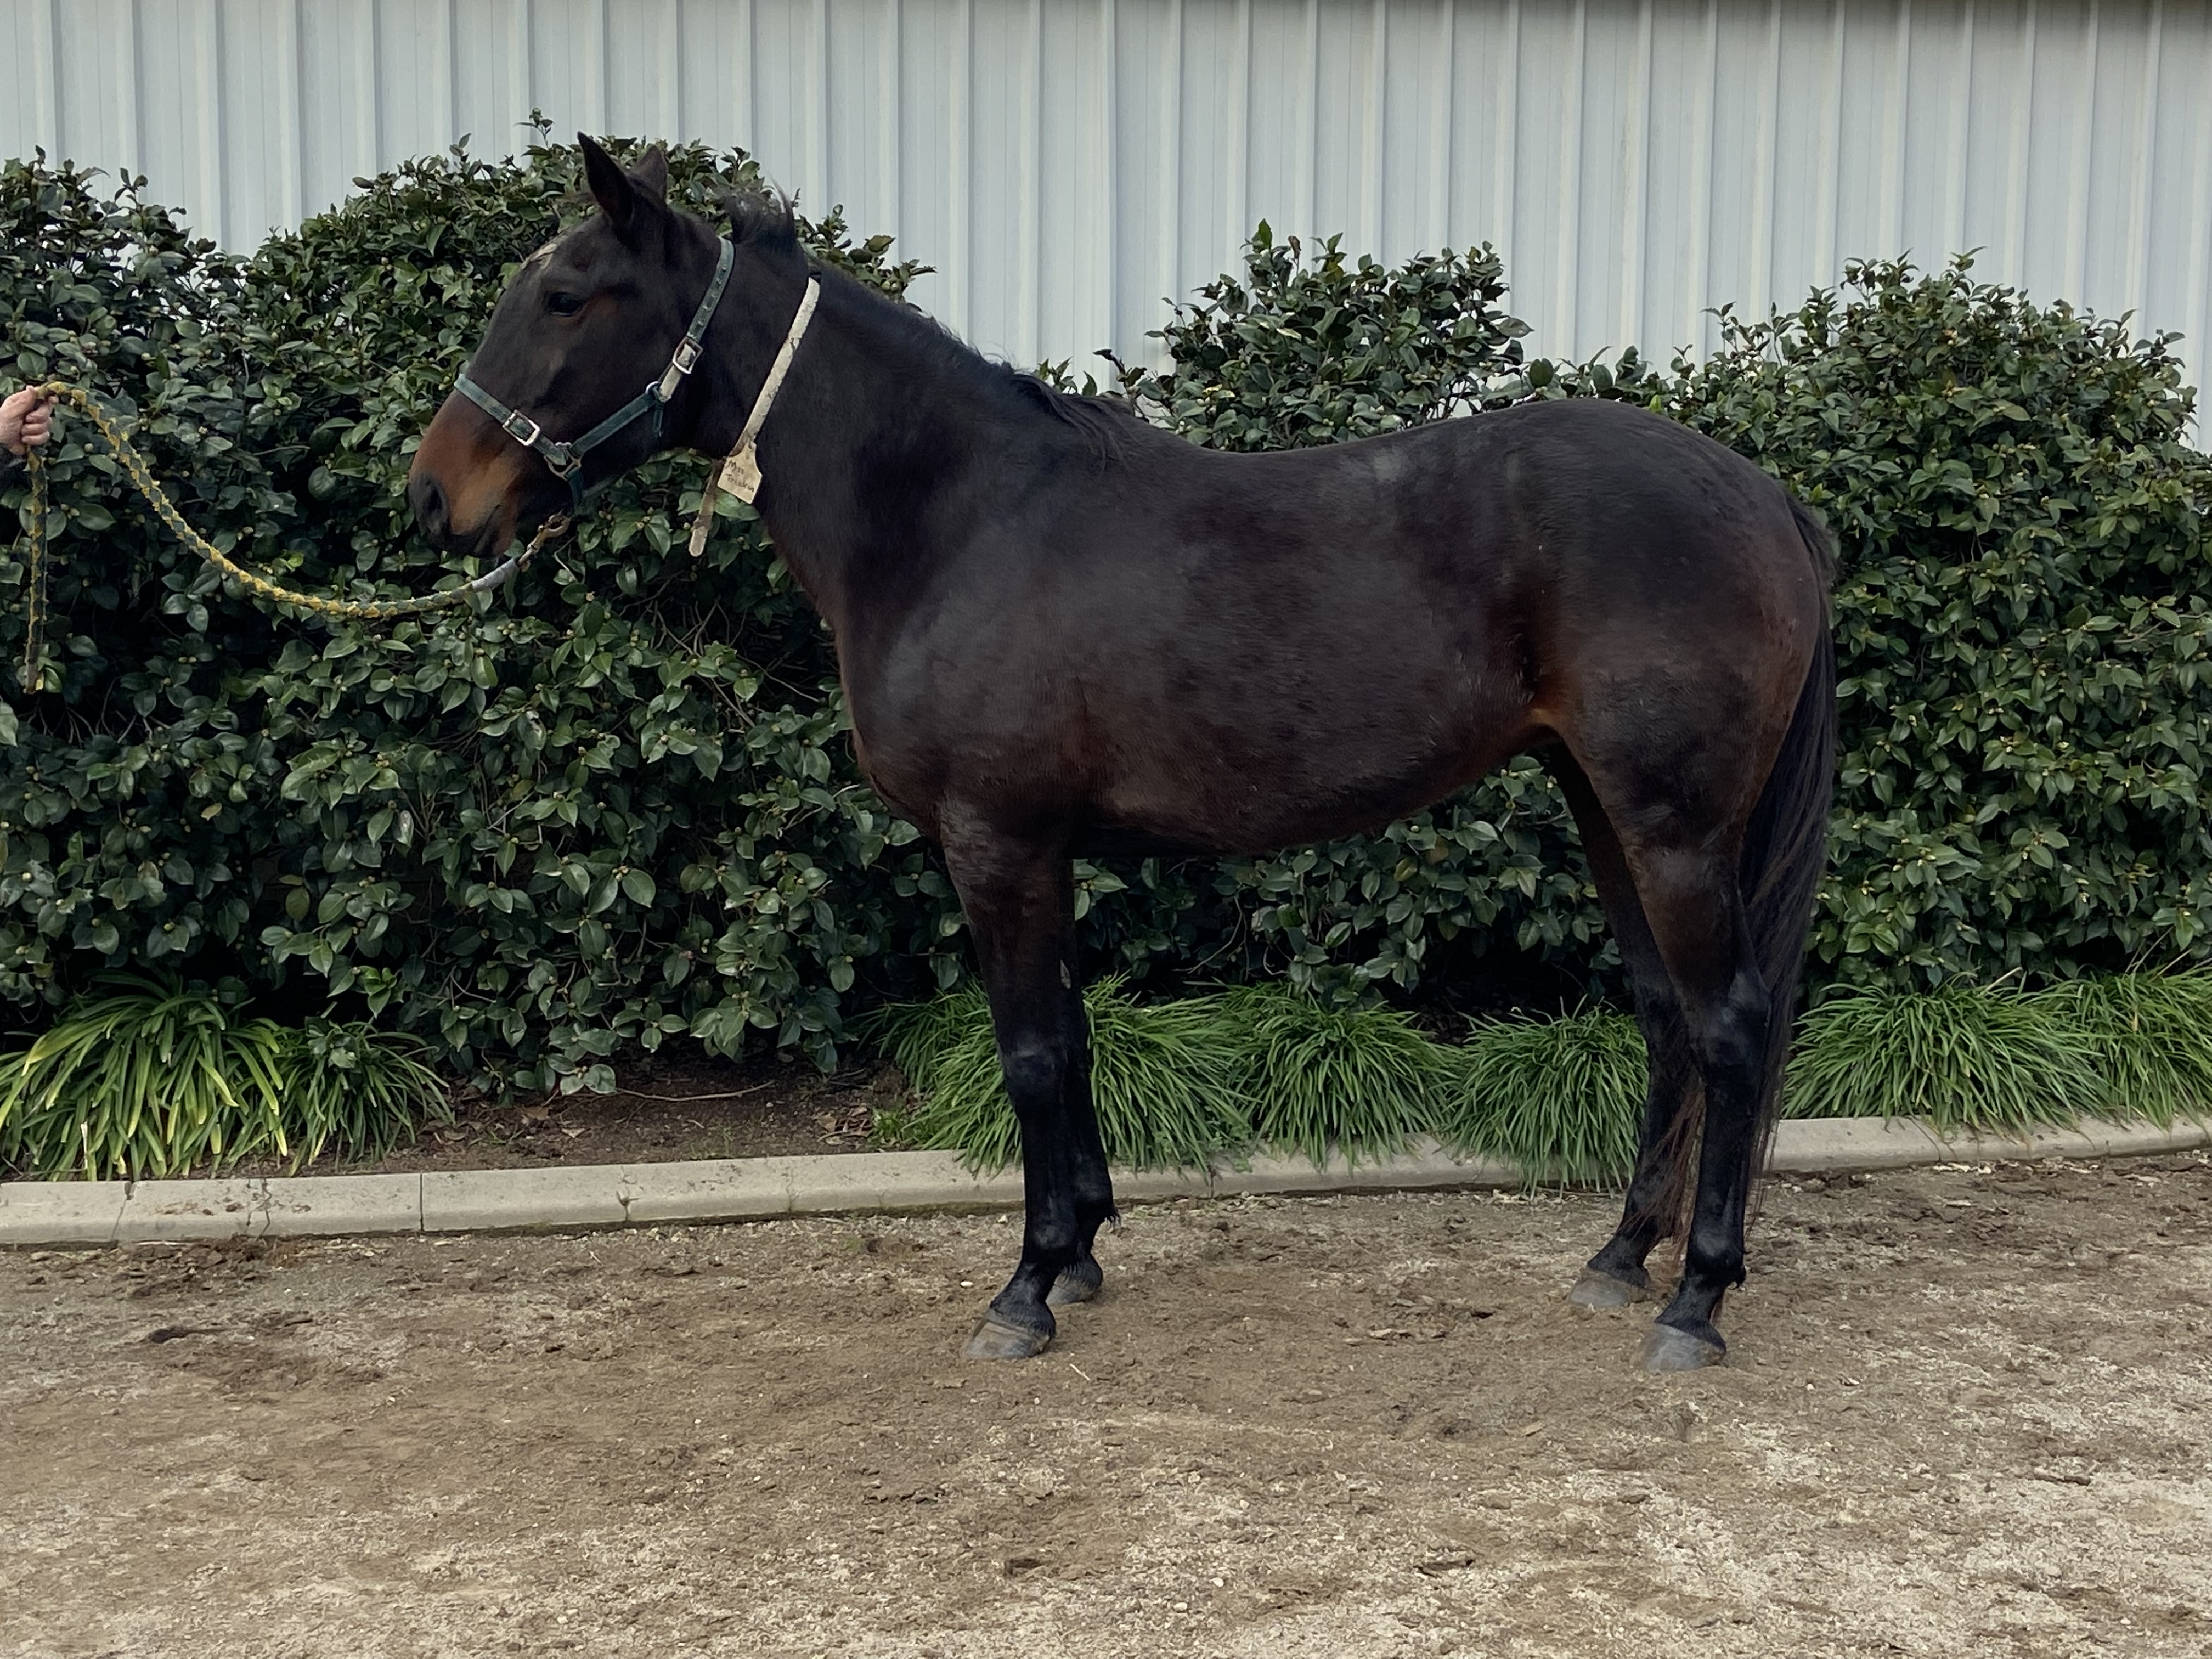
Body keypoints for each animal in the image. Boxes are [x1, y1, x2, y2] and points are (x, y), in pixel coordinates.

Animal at [409, 136, 1835, 1373]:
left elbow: (1032, 1053)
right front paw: (1085, 1249)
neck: (957, 519)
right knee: (1665, 1018)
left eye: (565, 297)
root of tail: (1764, 494)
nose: (433, 496)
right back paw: (1621, 1258)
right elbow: (1073, 1040)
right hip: (1603, 807)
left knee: (1729, 1024)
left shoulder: (996, 841)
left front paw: (1027, 1287)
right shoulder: (1040, 848)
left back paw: (1697, 1300)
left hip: (1673, 829)